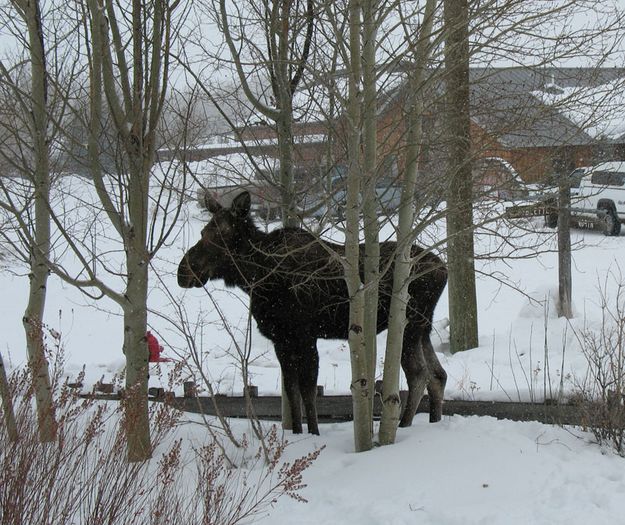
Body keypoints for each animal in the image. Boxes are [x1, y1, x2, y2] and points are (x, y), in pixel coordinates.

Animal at [178, 191, 446, 434]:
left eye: (223, 234)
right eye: (203, 233)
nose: (184, 272)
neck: (257, 278)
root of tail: (443, 269)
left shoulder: (305, 336)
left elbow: (308, 390)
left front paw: (314, 433)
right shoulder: (282, 340)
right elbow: (291, 391)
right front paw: (297, 432)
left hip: (408, 324)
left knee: (418, 374)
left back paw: (404, 425)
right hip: (423, 327)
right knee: (438, 375)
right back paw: (434, 422)